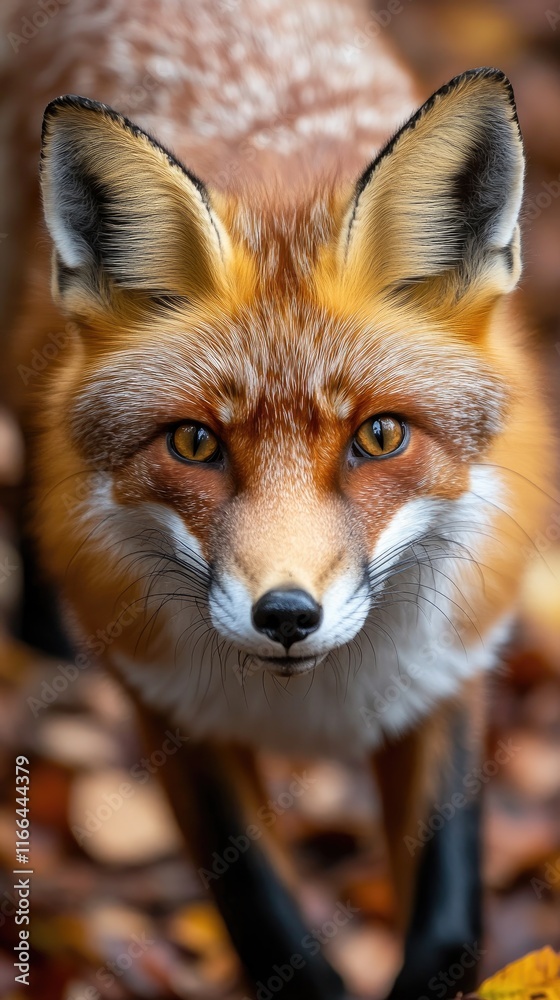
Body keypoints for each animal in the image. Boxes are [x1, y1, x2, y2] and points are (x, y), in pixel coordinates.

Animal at [3, 0, 554, 997]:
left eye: (380, 436)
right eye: (195, 443)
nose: (288, 615)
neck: (309, 707)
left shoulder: (449, 676)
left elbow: (450, 925)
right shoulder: (166, 706)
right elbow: (266, 923)